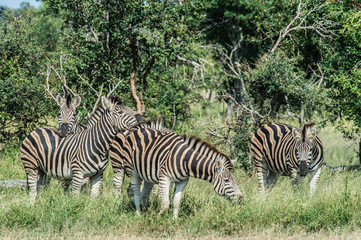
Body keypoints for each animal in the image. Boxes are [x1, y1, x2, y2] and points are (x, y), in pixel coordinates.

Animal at [108, 128, 240, 218]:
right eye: (226, 180)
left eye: (235, 181)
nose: (241, 199)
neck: (185, 161)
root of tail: (136, 130)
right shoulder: (164, 178)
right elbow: (165, 203)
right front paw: (157, 218)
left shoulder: (182, 182)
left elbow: (176, 202)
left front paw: (174, 221)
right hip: (132, 170)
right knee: (135, 193)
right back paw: (138, 213)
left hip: (147, 174)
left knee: (145, 193)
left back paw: (145, 211)